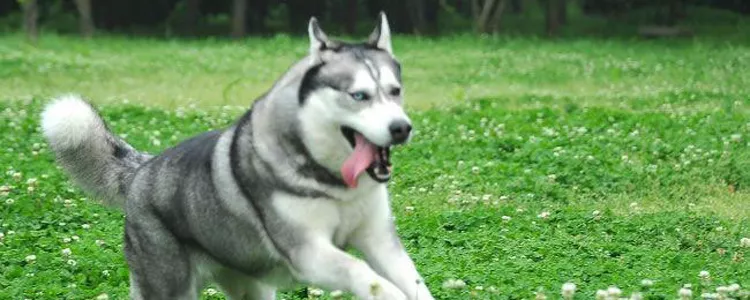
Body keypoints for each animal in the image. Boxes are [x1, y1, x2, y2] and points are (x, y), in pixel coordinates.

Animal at [41, 11, 438, 300]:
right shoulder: (309, 253)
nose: (401, 128)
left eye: (395, 91)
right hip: (169, 285)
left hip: (253, 285)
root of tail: (143, 170)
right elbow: (365, 275)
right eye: (359, 96)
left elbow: (414, 282)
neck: (332, 180)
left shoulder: (380, 240)